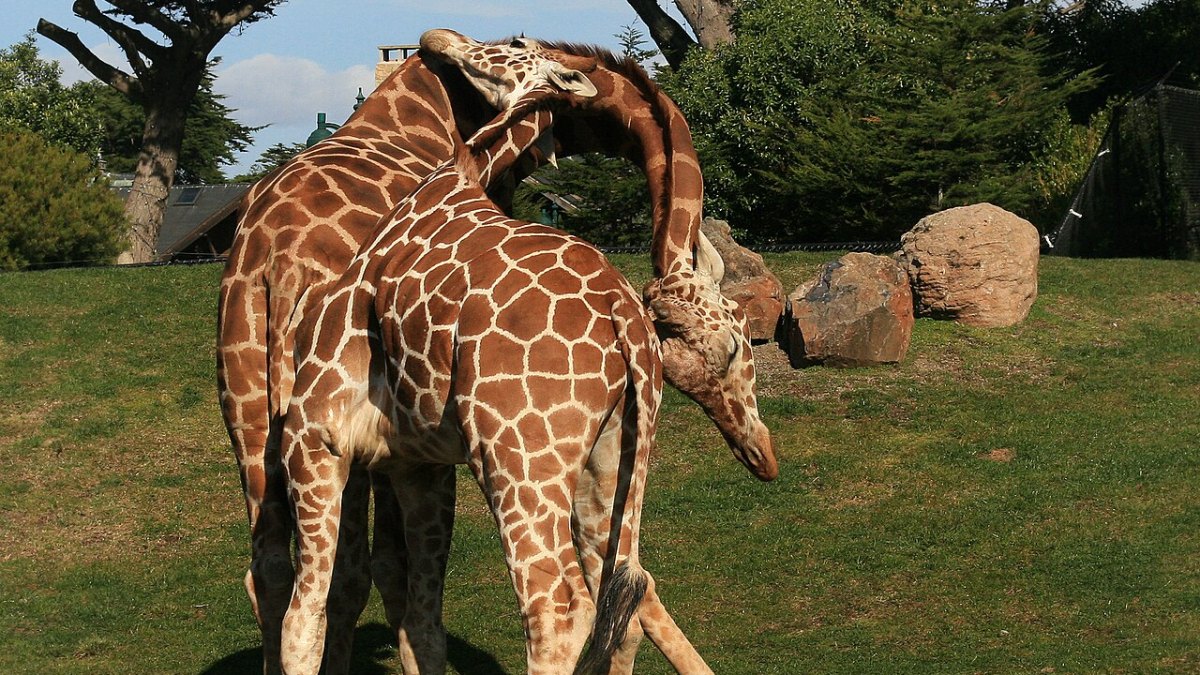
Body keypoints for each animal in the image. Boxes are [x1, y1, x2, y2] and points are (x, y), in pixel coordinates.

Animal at [217, 33, 598, 673]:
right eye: (521, 42)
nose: (438, 37)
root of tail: (280, 262)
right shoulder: (406, 444)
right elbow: (402, 581)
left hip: (246, 401)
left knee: (270, 572)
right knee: (348, 580)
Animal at [280, 84, 715, 675]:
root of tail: (621, 309)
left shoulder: (313, 438)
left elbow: (304, 618)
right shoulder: (415, 465)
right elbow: (419, 628)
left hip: (515, 455)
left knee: (559, 605)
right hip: (612, 457)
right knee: (623, 598)